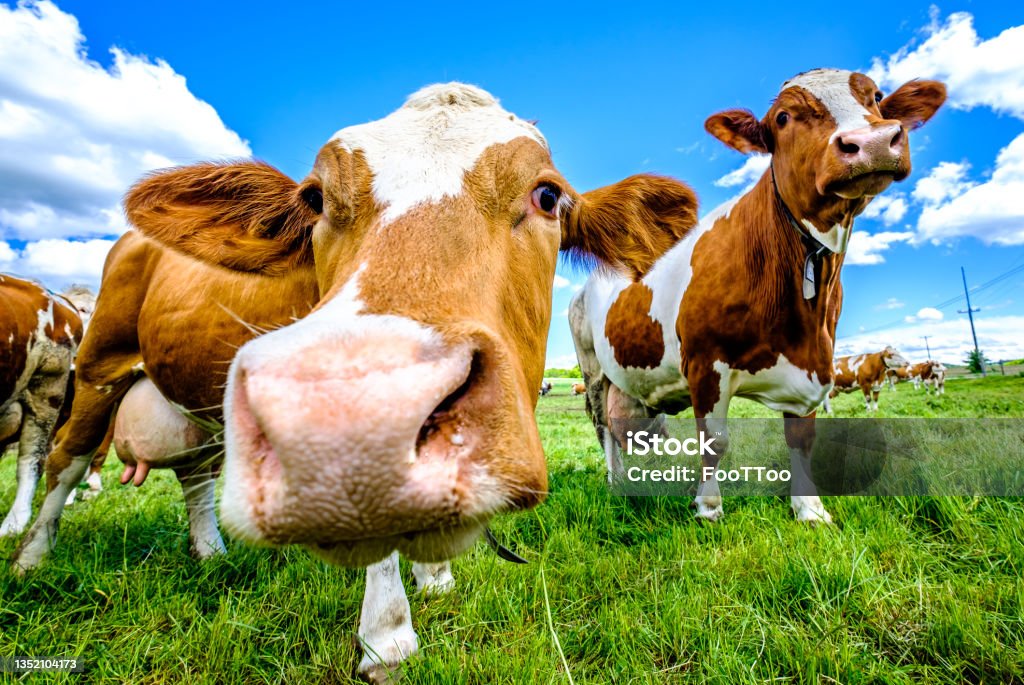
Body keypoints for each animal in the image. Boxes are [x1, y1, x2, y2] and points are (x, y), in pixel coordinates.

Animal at [569, 66, 942, 524]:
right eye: (782, 118)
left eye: (876, 97)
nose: (871, 142)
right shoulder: (705, 363)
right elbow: (715, 440)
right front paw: (708, 507)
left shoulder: (814, 365)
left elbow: (801, 438)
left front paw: (810, 509)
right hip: (592, 370)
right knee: (604, 427)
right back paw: (616, 480)